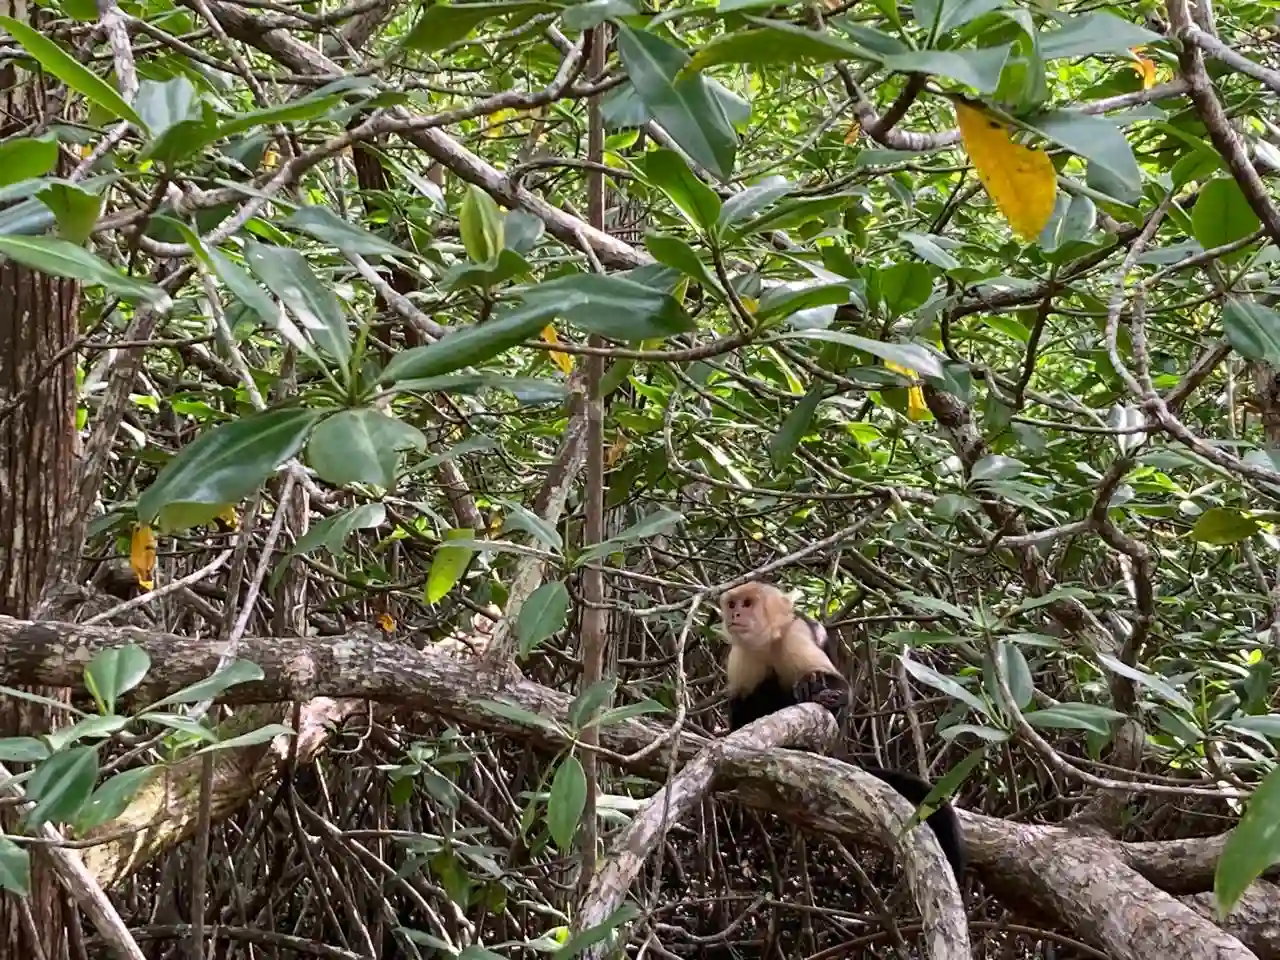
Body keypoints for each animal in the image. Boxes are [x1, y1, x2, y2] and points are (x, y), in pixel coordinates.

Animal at [719, 580, 966, 878]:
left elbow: (835, 682)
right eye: (733, 604)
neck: (767, 643)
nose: (735, 615)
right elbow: (740, 713)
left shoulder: (795, 635)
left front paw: (822, 690)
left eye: (747, 604)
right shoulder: (740, 656)